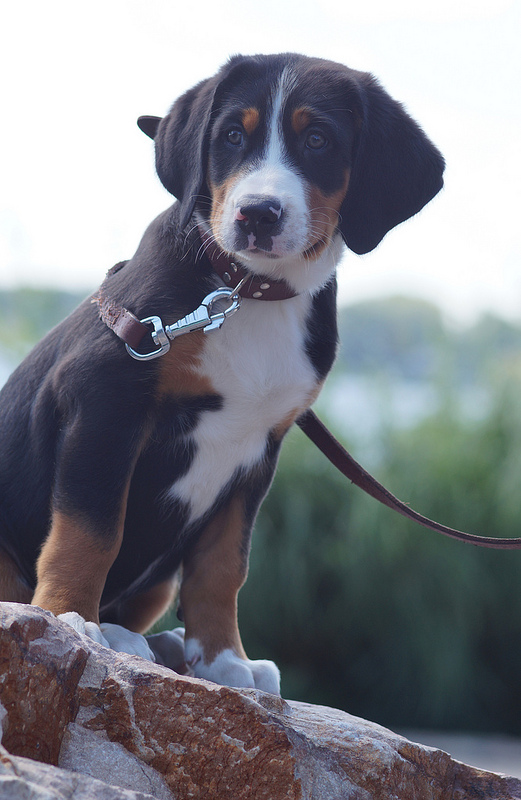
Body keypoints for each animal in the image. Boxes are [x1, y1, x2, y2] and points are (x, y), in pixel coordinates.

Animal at [0, 54, 442, 692]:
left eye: (318, 140)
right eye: (233, 135)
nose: (258, 213)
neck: (246, 290)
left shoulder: (259, 447)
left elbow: (222, 565)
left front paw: (223, 660)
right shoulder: (107, 399)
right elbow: (91, 529)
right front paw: (66, 619)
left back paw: (152, 642)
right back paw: (113, 634)